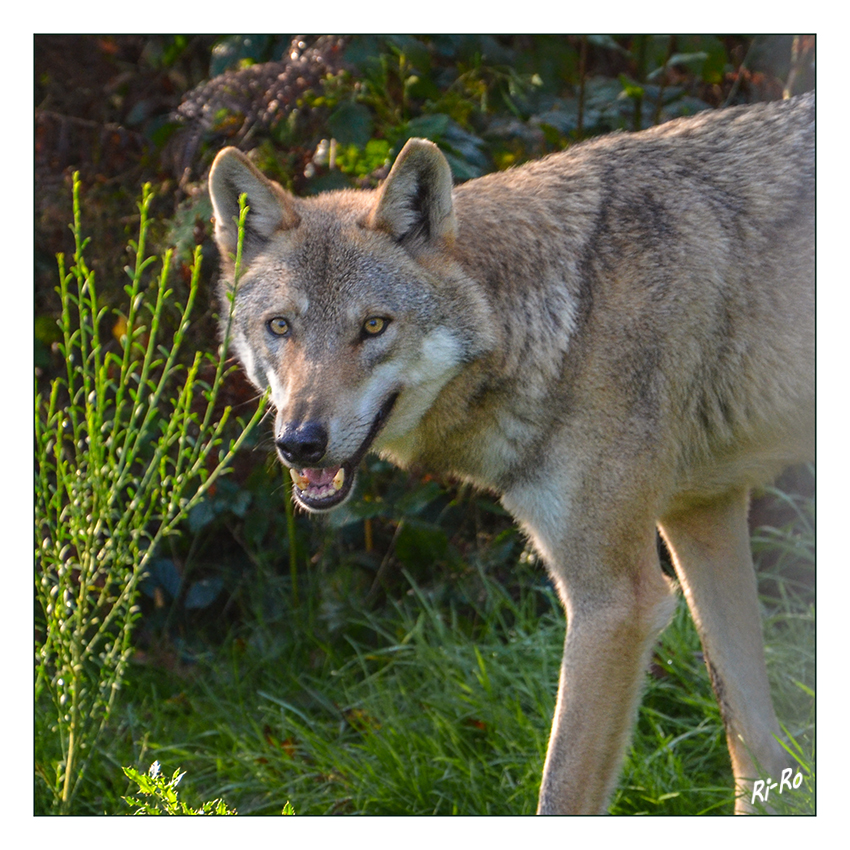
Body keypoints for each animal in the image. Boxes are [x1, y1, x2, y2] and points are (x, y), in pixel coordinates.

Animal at [207, 89, 816, 812]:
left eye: (374, 327)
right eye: (281, 327)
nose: (300, 443)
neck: (562, 319)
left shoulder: (616, 603)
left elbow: (562, 792)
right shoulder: (703, 515)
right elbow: (755, 747)